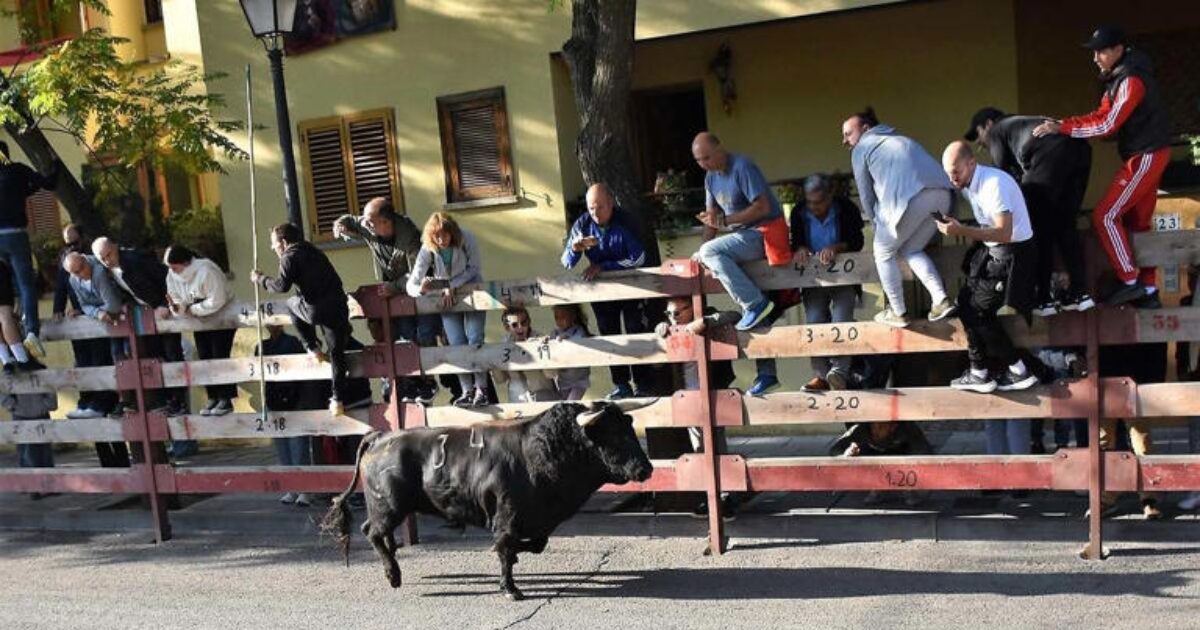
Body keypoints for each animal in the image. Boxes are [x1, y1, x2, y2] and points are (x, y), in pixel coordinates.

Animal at [324, 400, 652, 597]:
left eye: (629, 429)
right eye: (613, 435)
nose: (646, 469)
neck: (542, 450)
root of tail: (380, 437)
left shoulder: (537, 520)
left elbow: (535, 545)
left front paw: (516, 559)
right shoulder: (508, 515)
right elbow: (505, 548)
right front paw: (510, 588)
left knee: (379, 534)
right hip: (388, 506)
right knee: (372, 532)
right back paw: (393, 574)